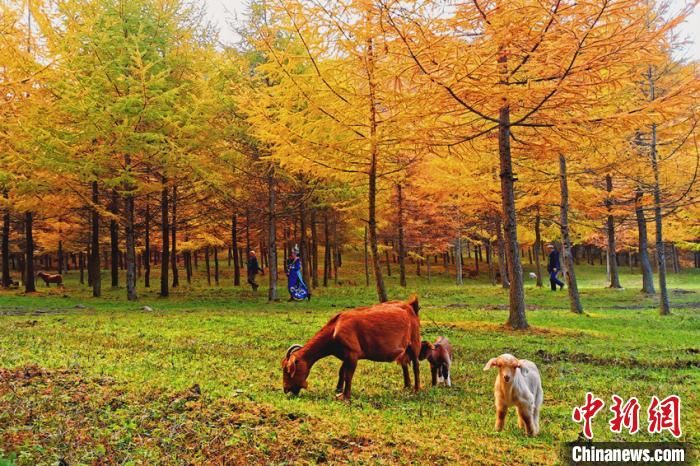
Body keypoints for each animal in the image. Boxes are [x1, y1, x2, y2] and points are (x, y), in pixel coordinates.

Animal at [280, 294, 422, 400]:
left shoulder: (352, 354)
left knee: (416, 366)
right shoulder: (345, 355)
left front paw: (346, 396)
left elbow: (348, 375)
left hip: (414, 343)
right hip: (404, 349)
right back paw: (406, 387)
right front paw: (338, 390)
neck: (335, 328)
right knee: (404, 364)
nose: (286, 389)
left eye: (287, 370)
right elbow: (341, 372)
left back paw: (416, 390)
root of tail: (410, 305)